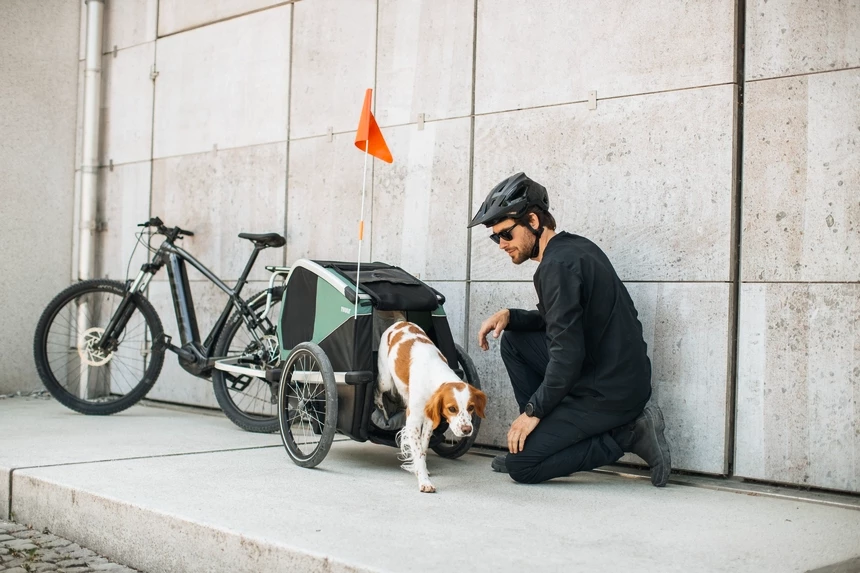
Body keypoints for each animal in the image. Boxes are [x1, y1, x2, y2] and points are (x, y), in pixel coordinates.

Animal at [374, 320, 488, 490]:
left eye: (471, 408)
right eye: (452, 408)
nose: (467, 430)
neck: (433, 372)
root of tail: (401, 321)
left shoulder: (429, 419)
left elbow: (423, 447)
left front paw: (420, 470)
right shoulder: (413, 420)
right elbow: (417, 451)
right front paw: (424, 481)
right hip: (385, 380)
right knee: (377, 390)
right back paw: (381, 408)